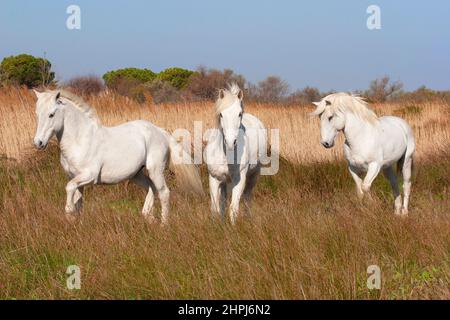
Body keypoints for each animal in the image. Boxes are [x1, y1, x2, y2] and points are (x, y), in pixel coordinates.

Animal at [34, 89, 203, 224]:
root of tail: (160, 131)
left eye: (51, 114)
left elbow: (69, 189)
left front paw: (69, 212)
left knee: (164, 193)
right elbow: (78, 200)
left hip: (155, 170)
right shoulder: (76, 178)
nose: (38, 143)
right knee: (151, 188)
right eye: (37, 114)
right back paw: (147, 216)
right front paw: (75, 220)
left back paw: (163, 224)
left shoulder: (89, 175)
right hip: (136, 174)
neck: (81, 139)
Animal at [205, 84, 268, 224]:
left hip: (253, 176)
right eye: (221, 114)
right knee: (223, 202)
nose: (230, 142)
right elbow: (215, 208)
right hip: (223, 181)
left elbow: (233, 208)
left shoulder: (239, 180)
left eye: (239, 114)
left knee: (247, 198)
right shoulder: (214, 178)